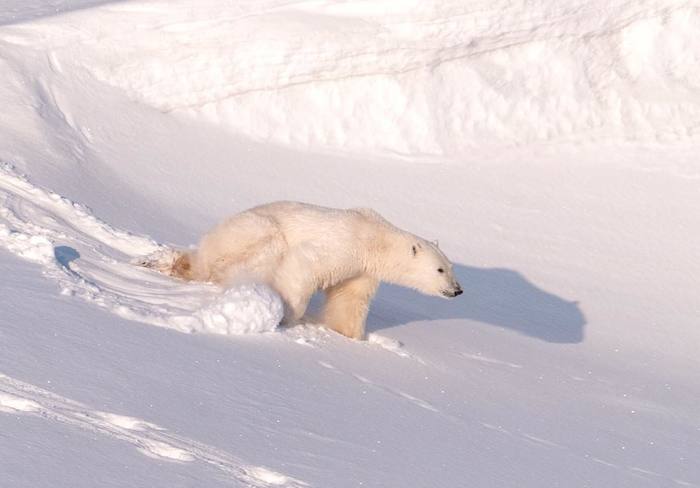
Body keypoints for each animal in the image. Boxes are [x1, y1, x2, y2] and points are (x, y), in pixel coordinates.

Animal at [161, 202, 462, 340]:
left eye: (450, 267)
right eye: (440, 269)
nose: (458, 290)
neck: (375, 238)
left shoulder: (361, 270)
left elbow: (350, 299)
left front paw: (351, 335)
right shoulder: (346, 245)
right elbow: (305, 265)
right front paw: (287, 315)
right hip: (251, 230)